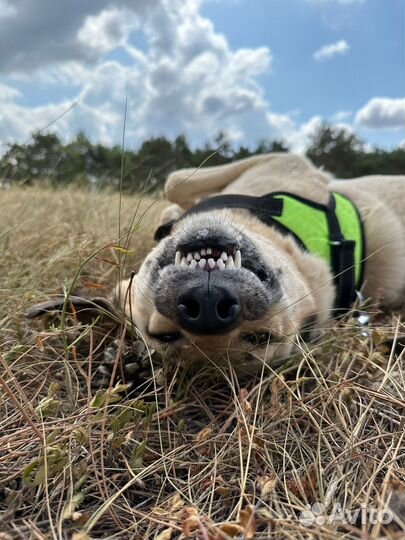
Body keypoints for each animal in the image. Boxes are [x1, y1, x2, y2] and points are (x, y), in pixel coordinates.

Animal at [114, 152, 404, 372]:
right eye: (165, 335)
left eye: (260, 337)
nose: (208, 305)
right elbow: (175, 185)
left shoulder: (284, 161)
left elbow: (174, 181)